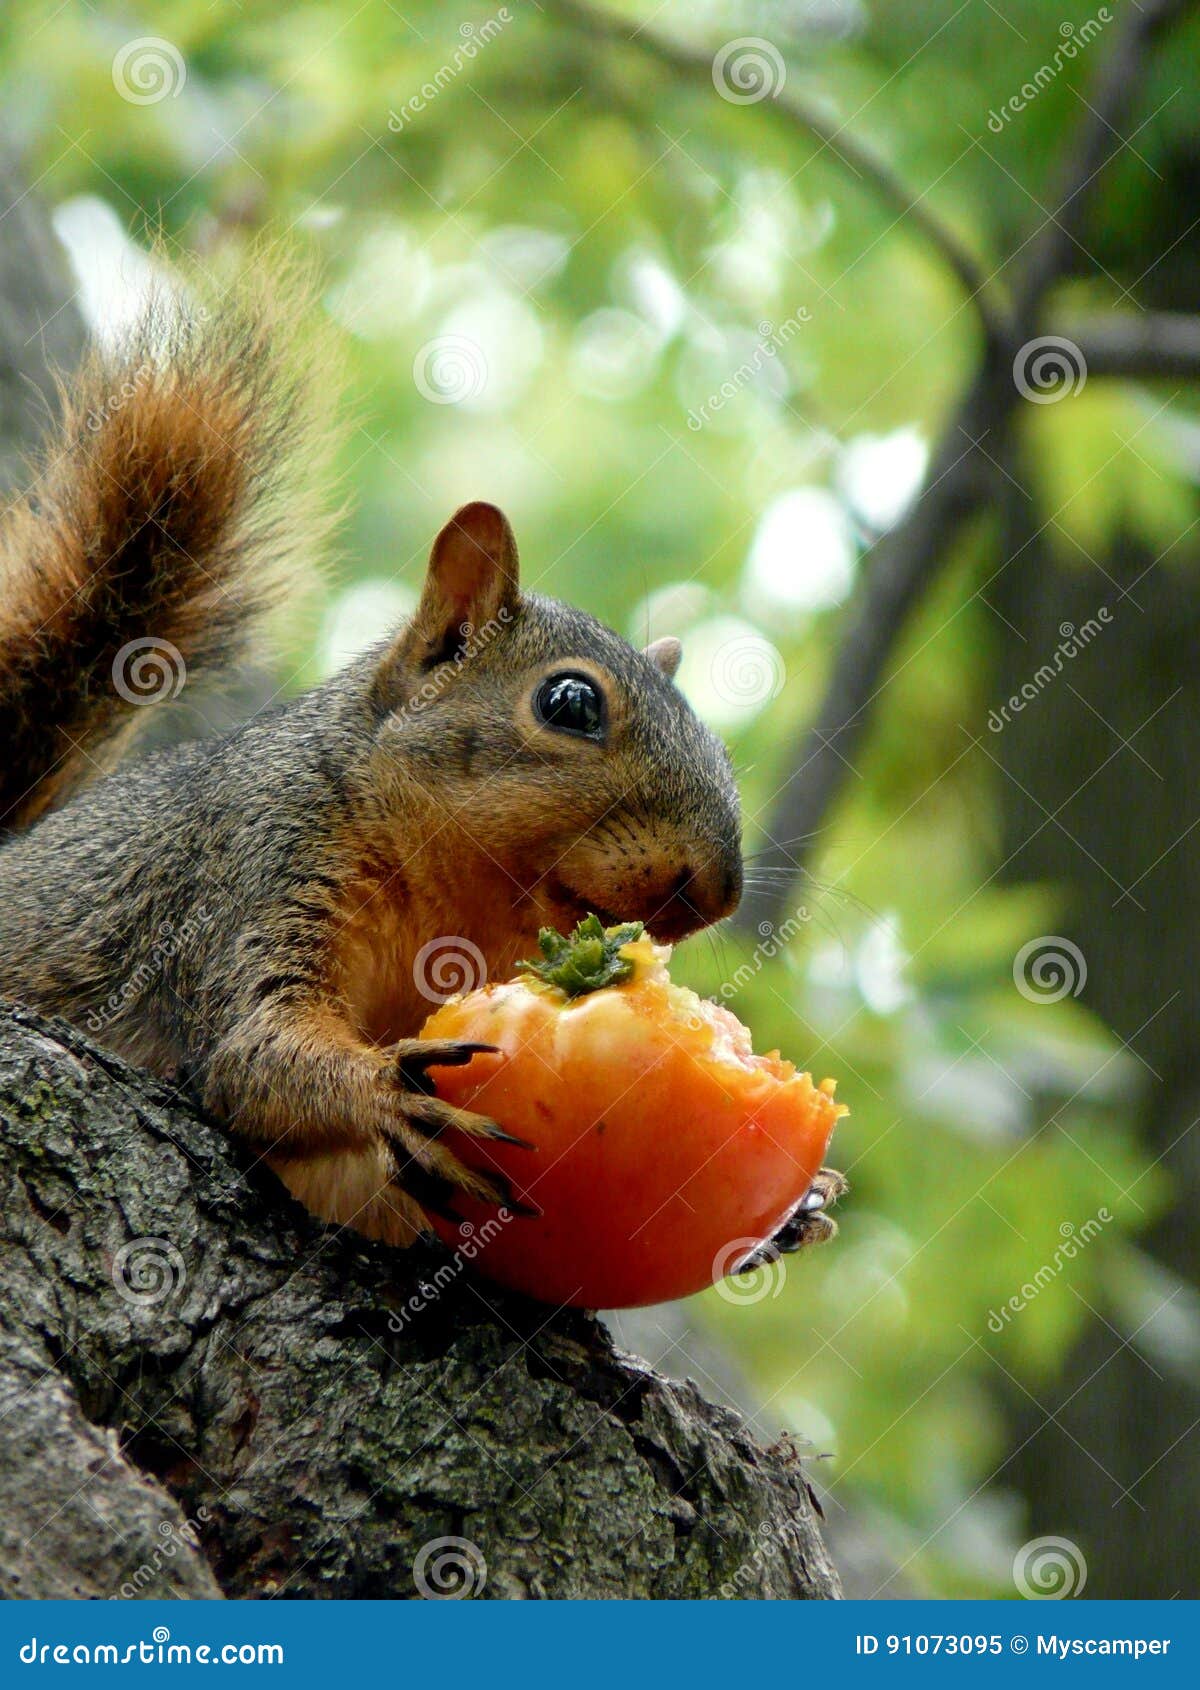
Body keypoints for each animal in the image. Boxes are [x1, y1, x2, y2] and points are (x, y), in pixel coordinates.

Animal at [0, 273, 844, 1257]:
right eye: (570, 704)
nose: (717, 892)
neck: (451, 909)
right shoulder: (251, 869)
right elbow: (253, 1042)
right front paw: (385, 1093)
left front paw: (801, 1207)